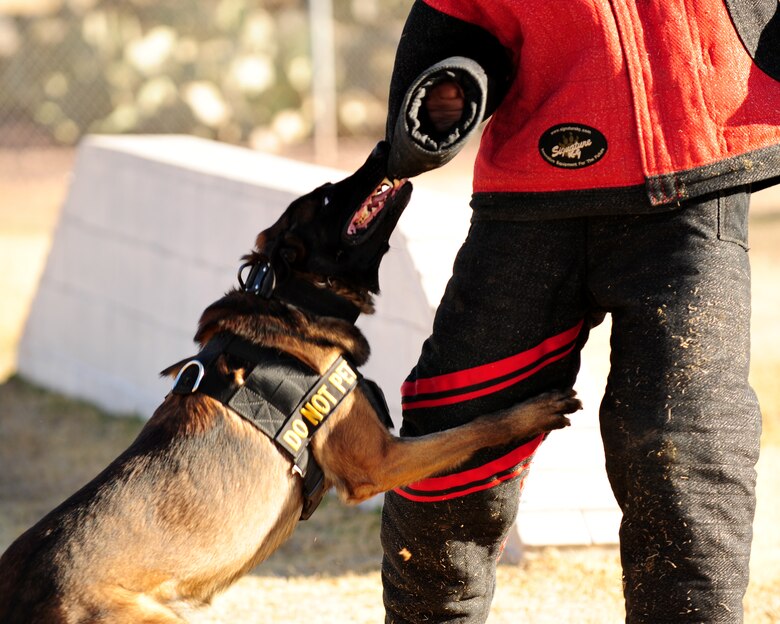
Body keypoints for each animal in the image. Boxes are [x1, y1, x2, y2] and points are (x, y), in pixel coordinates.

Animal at [0, 143, 580, 624]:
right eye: (325, 197)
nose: (383, 147)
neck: (293, 297)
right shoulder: (379, 461)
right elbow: (473, 429)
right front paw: (533, 411)